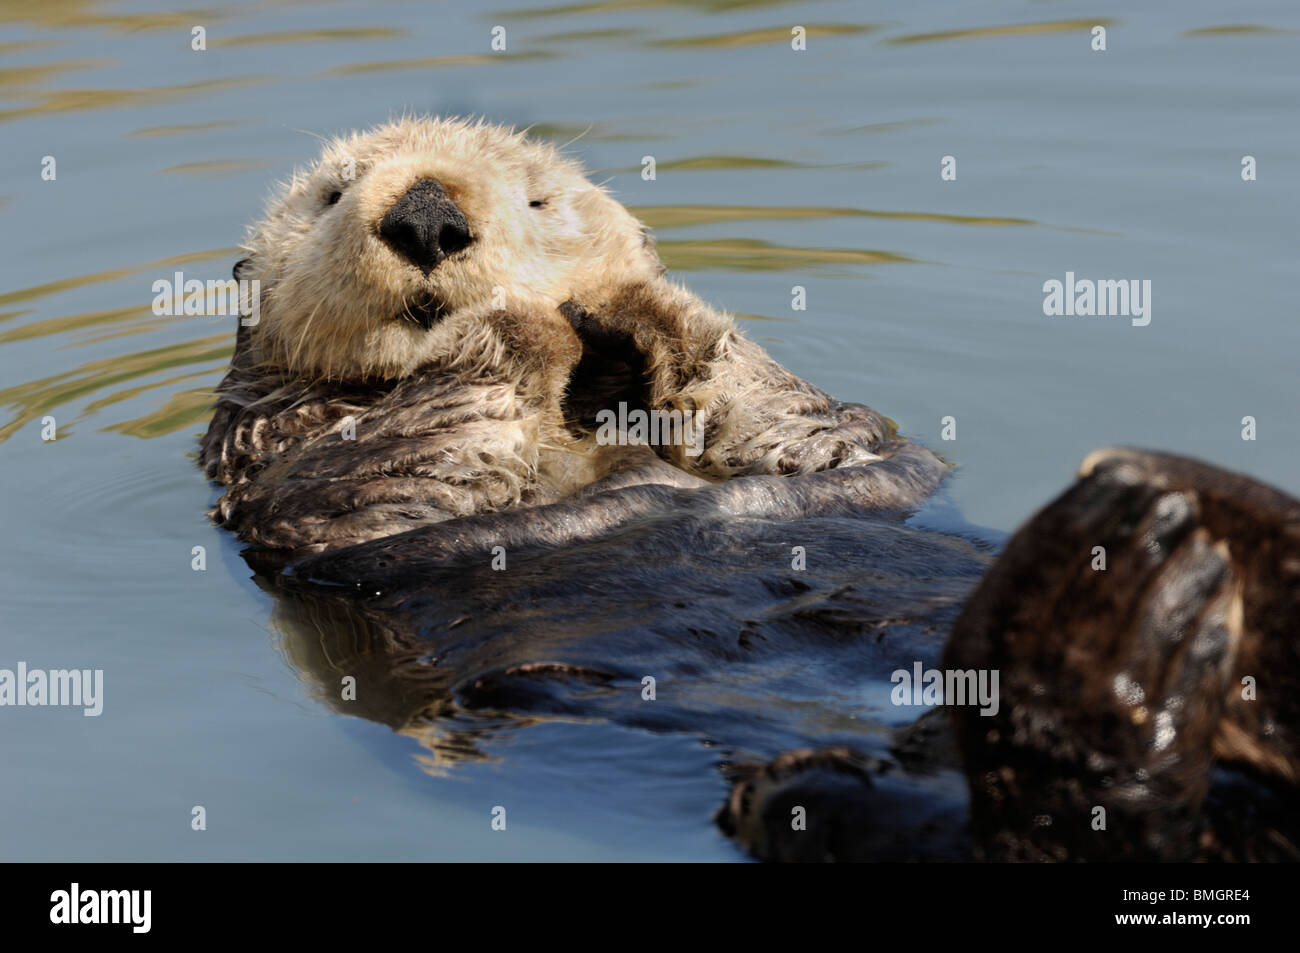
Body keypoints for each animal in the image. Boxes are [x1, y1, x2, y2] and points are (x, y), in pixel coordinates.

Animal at [197, 115, 1294, 858]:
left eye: (539, 197)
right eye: (332, 193)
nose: (426, 214)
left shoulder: (817, 442)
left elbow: (814, 430)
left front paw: (644, 311)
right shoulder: (280, 459)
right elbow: (380, 469)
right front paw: (515, 326)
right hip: (827, 799)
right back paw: (1125, 590)